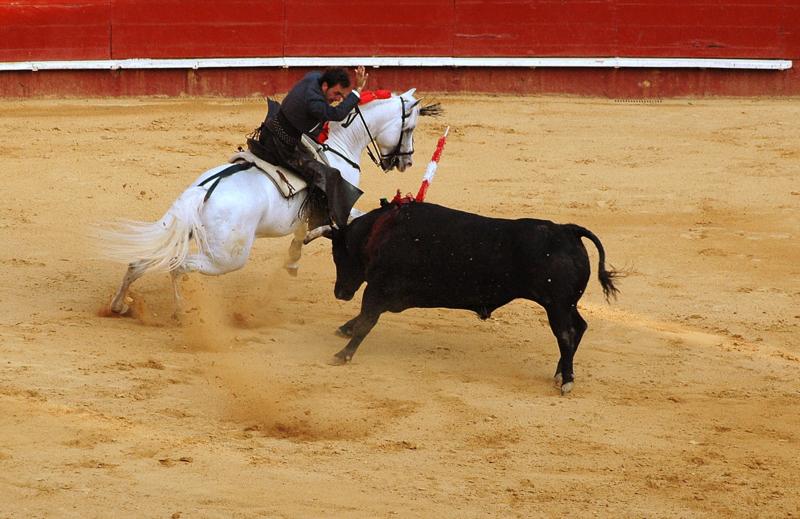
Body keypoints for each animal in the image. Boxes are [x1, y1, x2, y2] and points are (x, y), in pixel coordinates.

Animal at [99, 88, 438, 314]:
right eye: (409, 127)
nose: (406, 161)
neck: (339, 146)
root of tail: (202, 192)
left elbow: (309, 233)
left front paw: (294, 256)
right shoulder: (339, 206)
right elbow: (345, 221)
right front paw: (298, 254)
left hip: (184, 232)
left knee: (141, 262)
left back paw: (119, 306)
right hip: (227, 258)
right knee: (177, 266)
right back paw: (183, 313)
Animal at [306, 203, 620, 394]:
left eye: (337, 254)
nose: (340, 292)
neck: (380, 232)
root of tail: (567, 229)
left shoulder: (378, 289)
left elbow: (366, 322)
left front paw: (342, 355)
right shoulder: (382, 293)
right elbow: (363, 319)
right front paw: (343, 331)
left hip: (556, 305)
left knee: (566, 334)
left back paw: (566, 380)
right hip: (566, 304)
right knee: (579, 327)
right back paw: (560, 373)